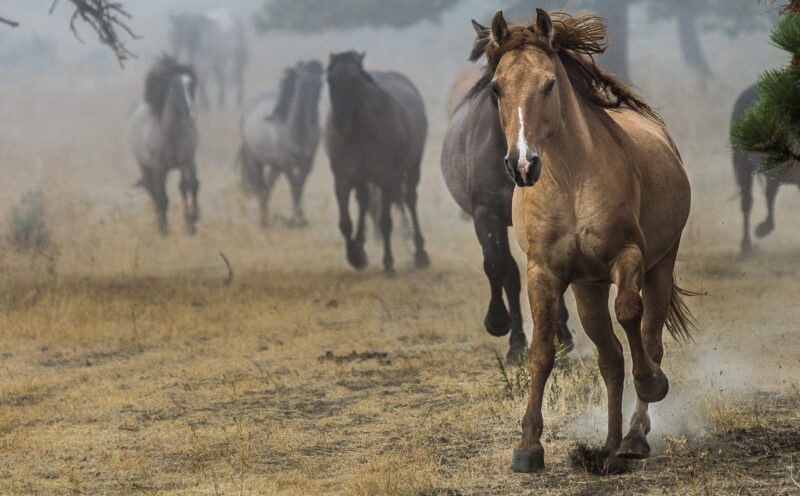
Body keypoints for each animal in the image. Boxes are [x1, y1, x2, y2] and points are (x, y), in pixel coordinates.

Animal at [129, 55, 199, 236]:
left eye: (191, 84)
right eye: (174, 85)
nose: (191, 115)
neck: (171, 134)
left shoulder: (187, 161)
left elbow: (190, 186)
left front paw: (192, 221)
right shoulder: (159, 167)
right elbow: (163, 198)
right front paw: (164, 230)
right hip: (146, 167)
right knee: (154, 193)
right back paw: (160, 224)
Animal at [239, 61, 323, 227]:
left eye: (320, 84)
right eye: (302, 84)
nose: (313, 118)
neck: (297, 131)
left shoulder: (307, 162)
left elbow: (300, 185)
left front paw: (301, 219)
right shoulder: (287, 162)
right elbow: (294, 185)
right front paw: (297, 220)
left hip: (275, 166)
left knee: (267, 187)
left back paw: (266, 217)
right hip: (255, 161)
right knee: (259, 186)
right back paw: (263, 220)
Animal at [325, 51, 429, 276]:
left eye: (356, 80)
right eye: (329, 79)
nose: (339, 123)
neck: (359, 131)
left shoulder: (386, 180)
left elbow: (385, 222)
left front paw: (388, 264)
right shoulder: (342, 180)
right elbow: (345, 223)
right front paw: (355, 256)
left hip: (412, 168)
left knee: (410, 199)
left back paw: (420, 254)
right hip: (363, 178)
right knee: (364, 201)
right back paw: (360, 245)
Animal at [441, 20, 573, 363]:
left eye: (549, 84)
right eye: (496, 87)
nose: (522, 164)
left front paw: (560, 336)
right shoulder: (486, 215)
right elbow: (498, 267)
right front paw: (504, 330)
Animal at [477, 10, 694, 472]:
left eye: (548, 84)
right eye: (496, 87)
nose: (522, 165)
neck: (571, 181)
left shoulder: (628, 256)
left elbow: (629, 313)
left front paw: (652, 385)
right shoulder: (545, 273)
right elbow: (542, 352)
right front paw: (528, 447)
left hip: (659, 267)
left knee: (648, 339)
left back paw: (634, 437)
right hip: (586, 290)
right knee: (610, 358)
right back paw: (609, 444)